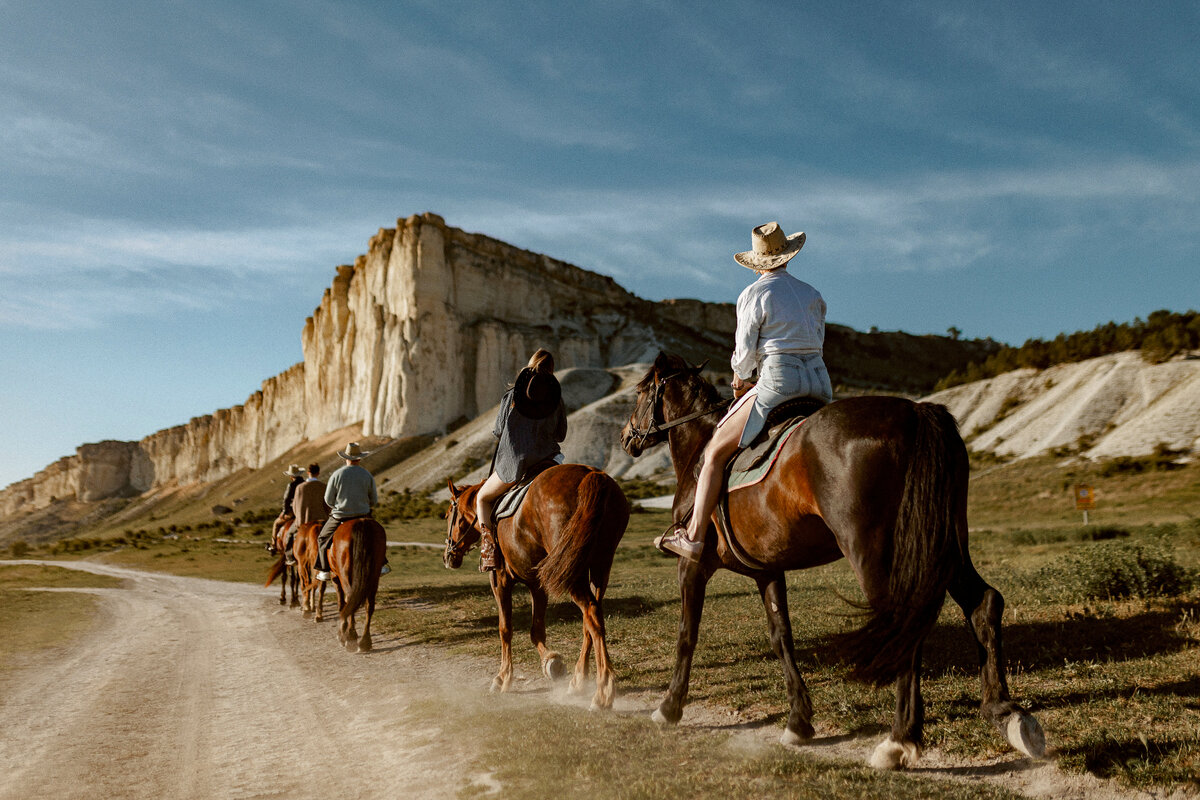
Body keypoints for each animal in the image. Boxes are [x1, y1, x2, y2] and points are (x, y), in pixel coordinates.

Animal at [326, 515, 386, 652]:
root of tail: (361, 522)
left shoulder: (335, 578)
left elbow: (341, 603)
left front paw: (342, 634)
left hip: (344, 575)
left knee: (349, 598)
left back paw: (350, 638)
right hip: (374, 576)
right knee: (369, 604)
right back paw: (365, 641)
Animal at [446, 465, 633, 710]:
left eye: (447, 515)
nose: (448, 556)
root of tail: (591, 473)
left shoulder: (500, 580)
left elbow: (505, 628)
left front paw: (502, 678)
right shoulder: (538, 583)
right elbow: (536, 630)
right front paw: (551, 662)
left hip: (574, 573)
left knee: (591, 612)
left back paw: (603, 693)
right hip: (600, 566)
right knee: (592, 619)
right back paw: (579, 681)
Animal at [619, 355, 1041, 767]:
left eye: (639, 393)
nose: (626, 437)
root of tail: (916, 411)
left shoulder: (692, 566)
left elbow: (686, 634)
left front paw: (669, 707)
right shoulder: (767, 570)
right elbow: (781, 638)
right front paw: (798, 721)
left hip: (879, 554)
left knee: (904, 624)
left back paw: (899, 740)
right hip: (942, 546)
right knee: (983, 603)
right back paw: (1005, 713)